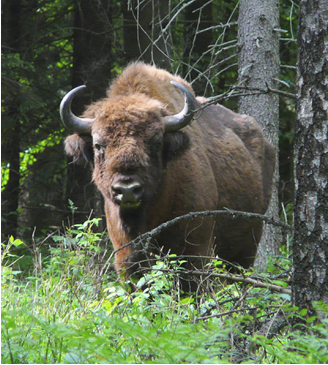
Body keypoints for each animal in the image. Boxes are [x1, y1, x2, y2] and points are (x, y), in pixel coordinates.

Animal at [60, 61, 276, 280]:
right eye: (98, 145)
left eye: (156, 142)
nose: (127, 190)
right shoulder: (126, 259)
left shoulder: (196, 254)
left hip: (247, 248)